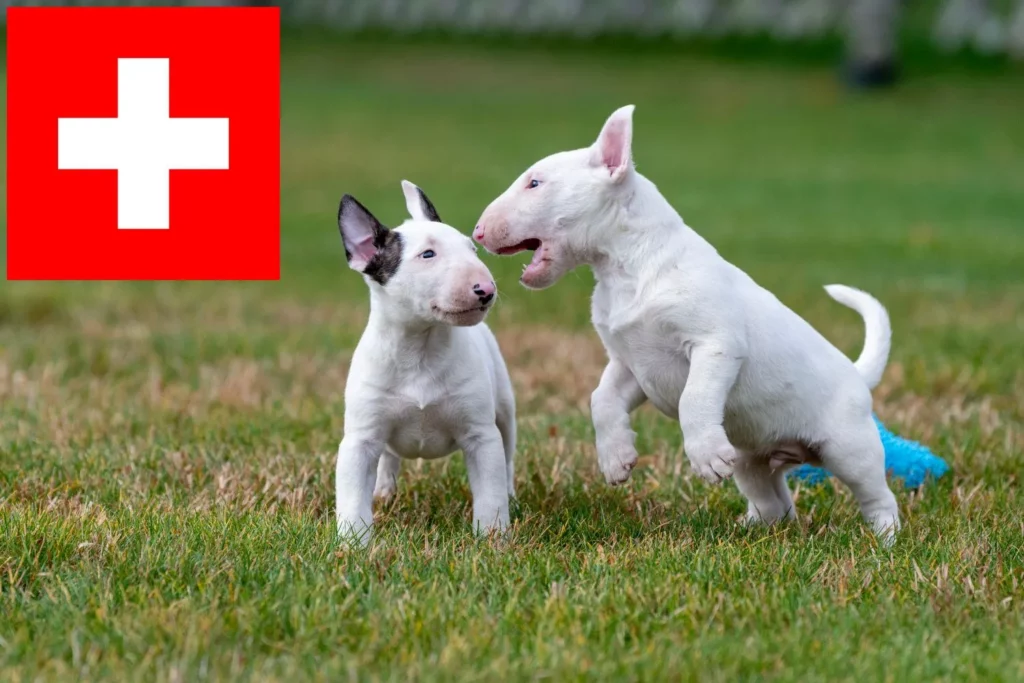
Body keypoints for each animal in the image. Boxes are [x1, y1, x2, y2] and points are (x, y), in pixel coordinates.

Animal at [335, 181, 516, 544]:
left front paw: (492, 539)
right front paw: (352, 544)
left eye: (472, 250)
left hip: (505, 408)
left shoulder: (481, 435)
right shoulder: (360, 439)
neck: (420, 346)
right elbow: (352, 495)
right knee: (388, 457)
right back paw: (383, 492)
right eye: (428, 255)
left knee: (508, 453)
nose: (486, 289)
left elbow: (490, 493)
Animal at [468, 105, 897, 544]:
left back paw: (885, 539)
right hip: (753, 461)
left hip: (849, 447)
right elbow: (601, 399)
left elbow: (695, 397)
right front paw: (616, 460)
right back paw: (751, 526)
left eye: (535, 183)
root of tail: (858, 376)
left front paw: (706, 457)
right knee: (775, 502)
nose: (478, 231)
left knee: (878, 496)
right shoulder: (630, 364)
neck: (629, 268)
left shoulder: (715, 344)